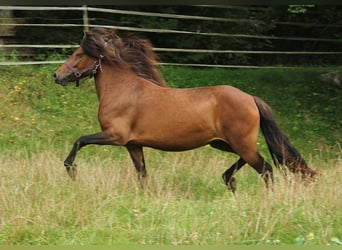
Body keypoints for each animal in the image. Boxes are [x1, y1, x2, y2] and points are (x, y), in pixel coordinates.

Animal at [54, 26, 318, 191]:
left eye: (79, 53)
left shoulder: (115, 136)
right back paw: (228, 180)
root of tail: (250, 98)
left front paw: (71, 170)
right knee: (253, 161)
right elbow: (142, 174)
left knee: (266, 169)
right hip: (224, 143)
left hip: (239, 143)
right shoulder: (133, 145)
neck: (124, 90)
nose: (57, 75)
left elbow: (80, 140)